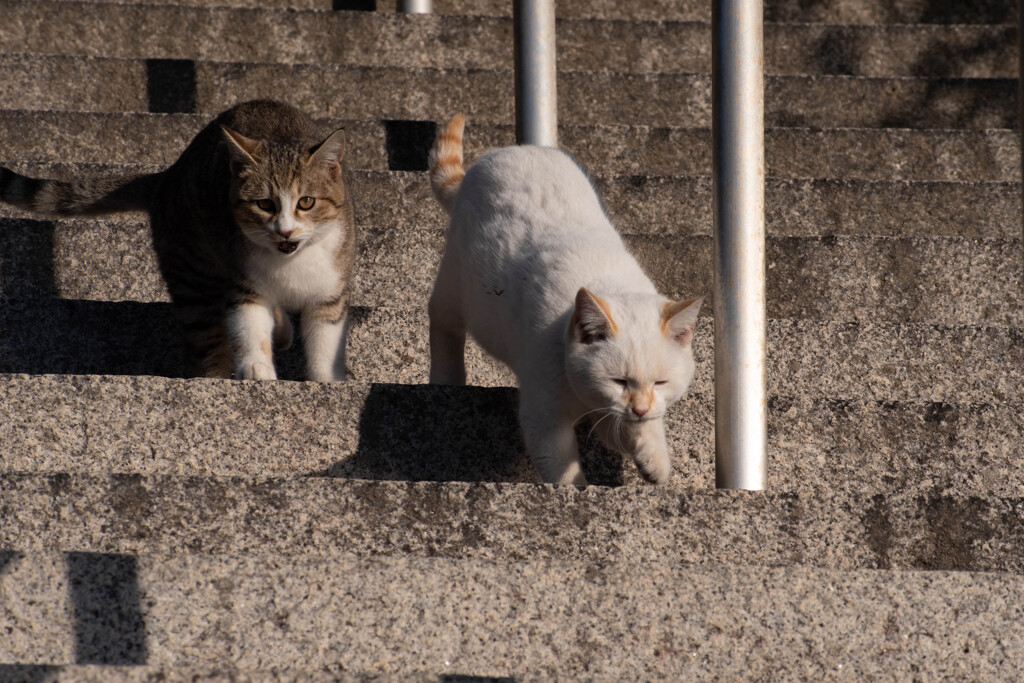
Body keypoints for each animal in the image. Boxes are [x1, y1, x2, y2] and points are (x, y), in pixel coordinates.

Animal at [0, 99, 356, 382]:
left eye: (306, 202)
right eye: (265, 204)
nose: (285, 230)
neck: (290, 261)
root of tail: (168, 176)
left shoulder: (330, 287)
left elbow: (326, 341)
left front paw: (327, 382)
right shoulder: (242, 276)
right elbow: (250, 324)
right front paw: (258, 370)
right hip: (193, 274)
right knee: (206, 336)